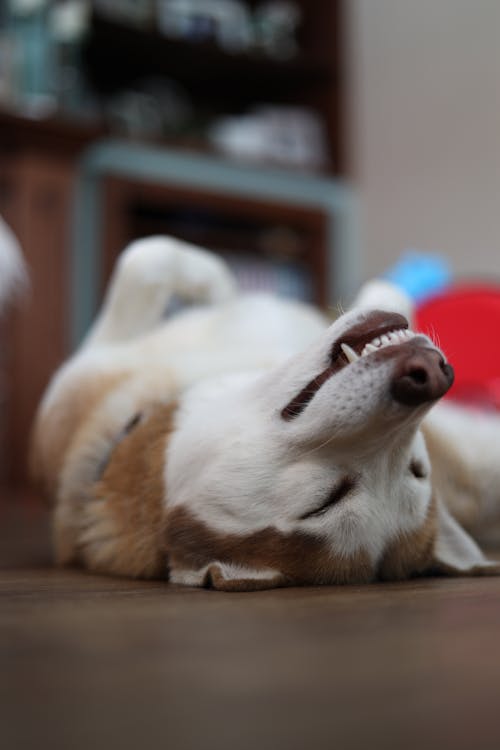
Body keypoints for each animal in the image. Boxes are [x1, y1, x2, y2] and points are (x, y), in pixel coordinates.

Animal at [30, 238, 500, 592]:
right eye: (419, 469)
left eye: (321, 502)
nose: (427, 378)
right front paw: (219, 288)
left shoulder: (85, 369)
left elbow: (144, 259)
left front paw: (214, 284)